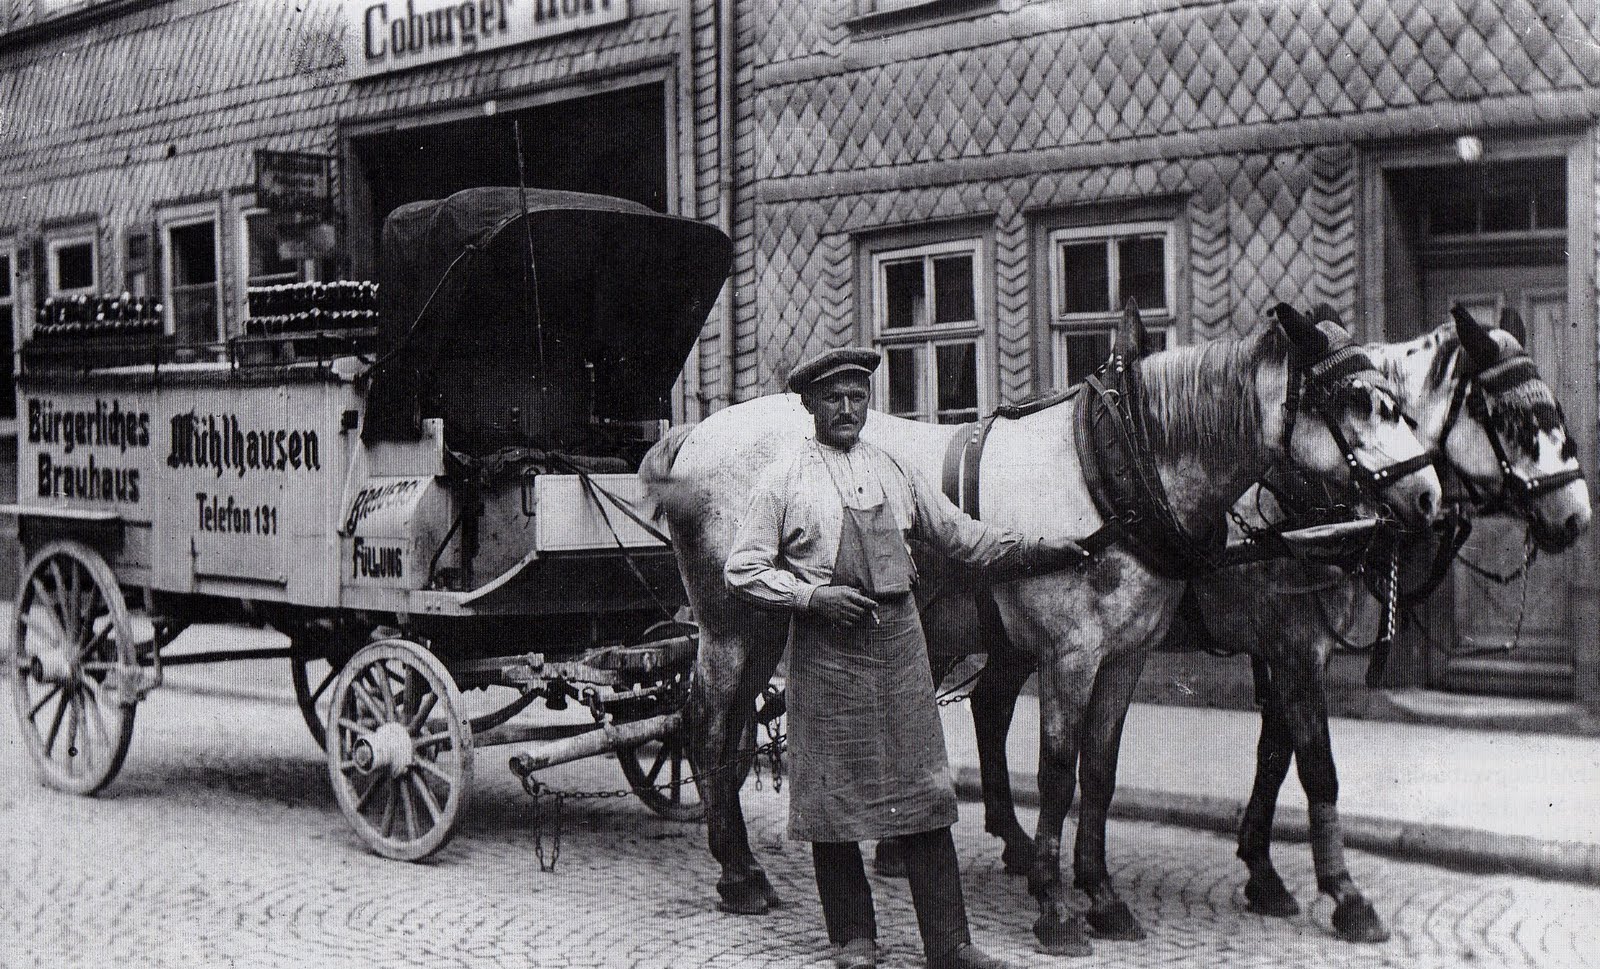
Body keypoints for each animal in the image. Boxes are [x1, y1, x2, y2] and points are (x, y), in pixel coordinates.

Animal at [640, 305, 1444, 955]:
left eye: (1404, 399)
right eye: (1353, 399)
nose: (1429, 496)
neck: (1116, 472)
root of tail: (694, 433)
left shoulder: (1129, 657)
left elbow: (1108, 771)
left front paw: (1105, 894)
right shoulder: (1081, 655)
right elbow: (1063, 772)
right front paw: (1059, 909)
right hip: (737, 624)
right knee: (707, 729)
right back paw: (741, 873)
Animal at [947, 305, 1590, 945]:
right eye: (1508, 416)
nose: (1576, 518)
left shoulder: (1290, 650)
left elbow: (1275, 760)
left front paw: (1262, 871)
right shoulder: (1295, 649)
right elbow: (1317, 768)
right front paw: (1346, 896)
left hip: (1011, 640)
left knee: (990, 706)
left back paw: (1012, 841)